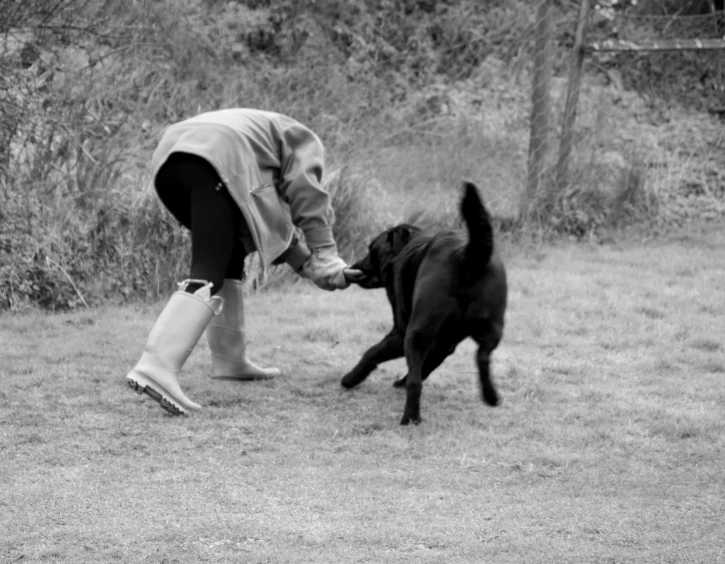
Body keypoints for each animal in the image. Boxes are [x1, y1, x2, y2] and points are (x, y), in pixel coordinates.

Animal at [342, 183, 506, 426]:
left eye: (372, 249)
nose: (355, 265)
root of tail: (465, 255)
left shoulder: (401, 332)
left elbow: (372, 353)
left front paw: (350, 378)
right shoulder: (446, 342)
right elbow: (425, 366)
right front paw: (403, 378)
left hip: (416, 333)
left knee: (416, 384)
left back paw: (410, 418)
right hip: (491, 326)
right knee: (483, 356)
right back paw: (491, 396)